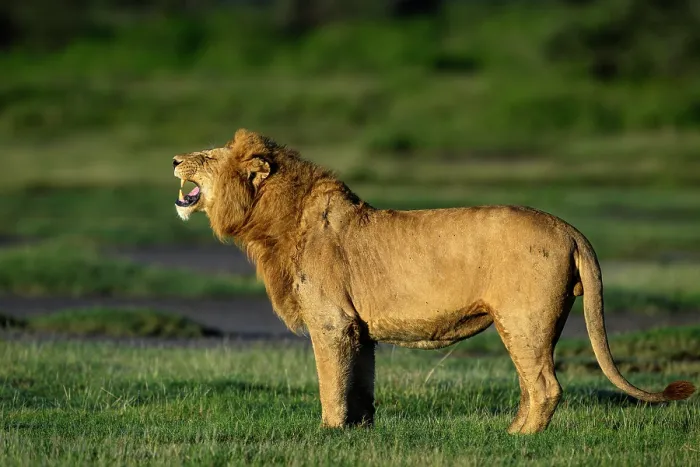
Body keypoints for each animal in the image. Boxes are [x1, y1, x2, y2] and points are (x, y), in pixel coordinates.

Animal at [172, 129, 695, 434]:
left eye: (208, 156)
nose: (175, 159)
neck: (273, 223)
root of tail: (567, 226)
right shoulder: (358, 329)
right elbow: (359, 385)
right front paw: (361, 433)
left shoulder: (332, 322)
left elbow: (330, 384)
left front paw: (328, 433)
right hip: (530, 324)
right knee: (532, 385)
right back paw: (510, 435)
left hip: (523, 320)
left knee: (546, 386)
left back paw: (520, 442)